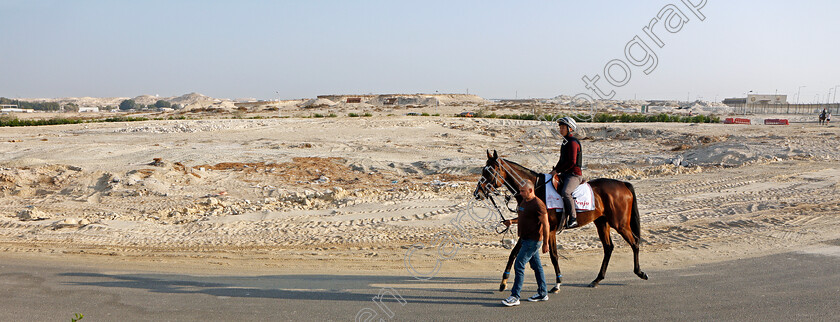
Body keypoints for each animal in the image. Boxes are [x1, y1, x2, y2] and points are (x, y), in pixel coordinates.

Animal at [472, 151, 648, 292]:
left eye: (489, 171)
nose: (477, 193)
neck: (536, 190)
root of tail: (623, 184)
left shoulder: (549, 230)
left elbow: (554, 255)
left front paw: (557, 283)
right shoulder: (530, 229)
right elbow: (513, 253)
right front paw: (504, 281)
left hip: (620, 224)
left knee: (635, 242)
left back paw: (640, 272)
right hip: (602, 223)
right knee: (608, 248)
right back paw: (597, 279)